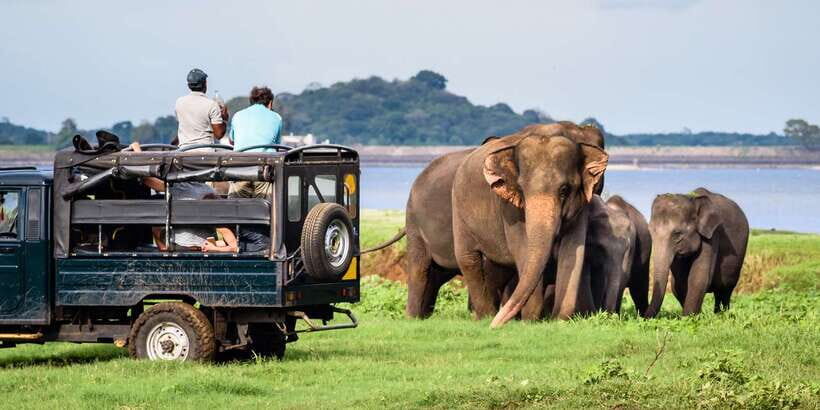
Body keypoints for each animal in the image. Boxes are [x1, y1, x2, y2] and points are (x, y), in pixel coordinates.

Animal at [451, 125, 608, 327]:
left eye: (564, 190)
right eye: (522, 189)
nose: (495, 326)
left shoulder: (581, 206)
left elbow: (573, 252)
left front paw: (559, 321)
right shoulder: (510, 209)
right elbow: (524, 251)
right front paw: (530, 322)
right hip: (459, 211)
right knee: (468, 259)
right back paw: (485, 317)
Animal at [645, 187, 749, 317]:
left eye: (677, 233)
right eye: (650, 231)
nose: (642, 317)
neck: (692, 199)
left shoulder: (712, 235)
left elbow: (698, 277)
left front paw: (689, 317)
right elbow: (678, 284)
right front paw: (695, 316)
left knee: (725, 290)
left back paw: (721, 314)